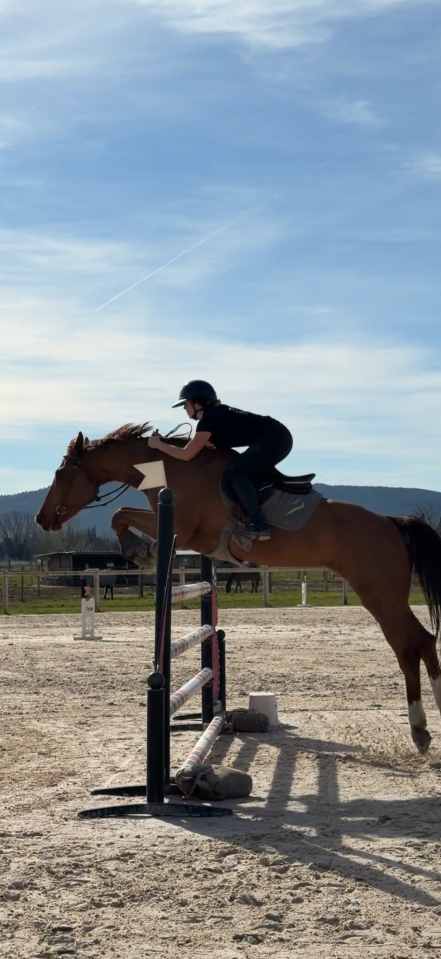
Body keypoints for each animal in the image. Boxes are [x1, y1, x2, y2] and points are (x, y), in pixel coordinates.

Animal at [35, 423, 441, 753]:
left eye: (60, 472)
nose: (42, 519)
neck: (171, 467)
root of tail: (392, 522)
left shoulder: (183, 527)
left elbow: (121, 515)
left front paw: (141, 551)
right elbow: (120, 516)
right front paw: (139, 550)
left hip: (379, 593)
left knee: (410, 645)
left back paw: (420, 729)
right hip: (384, 594)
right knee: (423, 641)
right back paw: (429, 722)